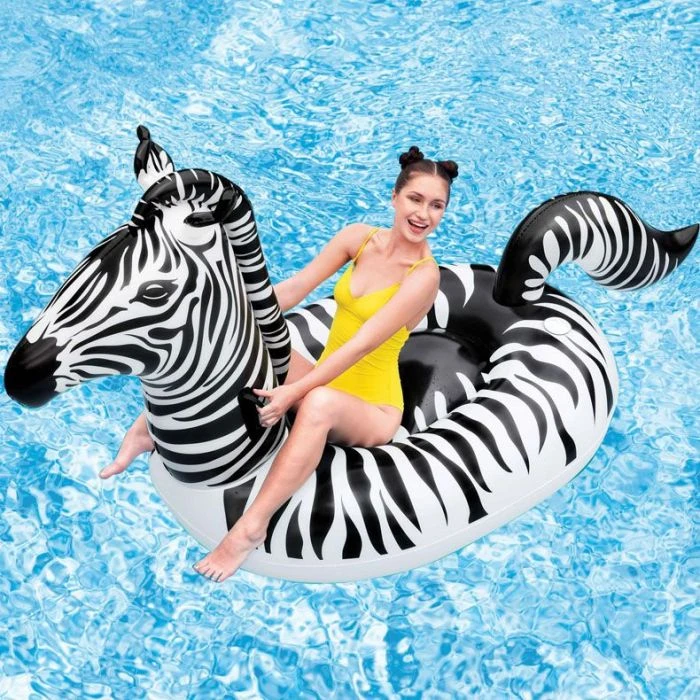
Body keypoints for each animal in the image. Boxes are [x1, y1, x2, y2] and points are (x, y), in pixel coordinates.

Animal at [5, 127, 697, 582]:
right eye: (84, 260)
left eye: (153, 292)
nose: (19, 376)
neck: (237, 462)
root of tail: (514, 295)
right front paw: (135, 441)